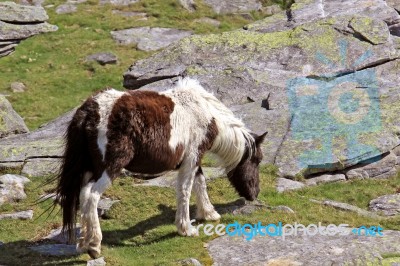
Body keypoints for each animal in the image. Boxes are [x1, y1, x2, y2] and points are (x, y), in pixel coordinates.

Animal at [54, 77, 268, 258]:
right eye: (257, 160)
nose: (254, 194)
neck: (206, 114)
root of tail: (90, 110)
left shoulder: (194, 159)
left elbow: (200, 183)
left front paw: (209, 213)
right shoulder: (192, 158)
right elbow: (186, 190)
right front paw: (186, 228)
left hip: (89, 169)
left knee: (83, 196)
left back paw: (83, 242)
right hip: (109, 168)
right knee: (92, 196)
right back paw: (94, 246)